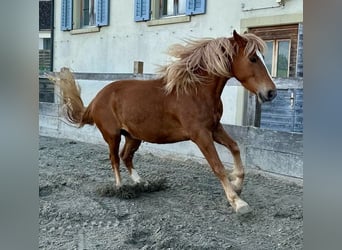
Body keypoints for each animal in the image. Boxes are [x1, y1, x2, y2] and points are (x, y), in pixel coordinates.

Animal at [51, 30, 276, 215]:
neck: (195, 91)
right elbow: (217, 166)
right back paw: (120, 187)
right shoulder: (200, 134)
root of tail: (96, 99)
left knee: (126, 157)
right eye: (253, 58)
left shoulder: (214, 128)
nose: (271, 93)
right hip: (112, 136)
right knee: (114, 159)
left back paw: (143, 183)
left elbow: (235, 147)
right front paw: (238, 202)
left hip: (134, 136)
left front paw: (237, 183)